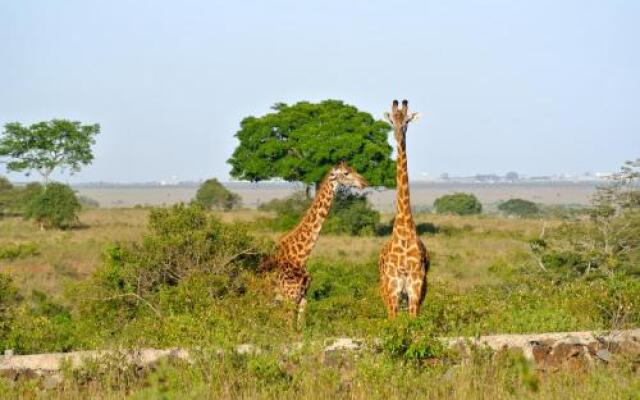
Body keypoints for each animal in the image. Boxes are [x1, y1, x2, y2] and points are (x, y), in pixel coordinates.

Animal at [262, 162, 370, 324]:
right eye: (346, 173)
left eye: (354, 169)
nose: (364, 182)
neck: (301, 256)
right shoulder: (290, 297)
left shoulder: (303, 297)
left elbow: (301, 327)